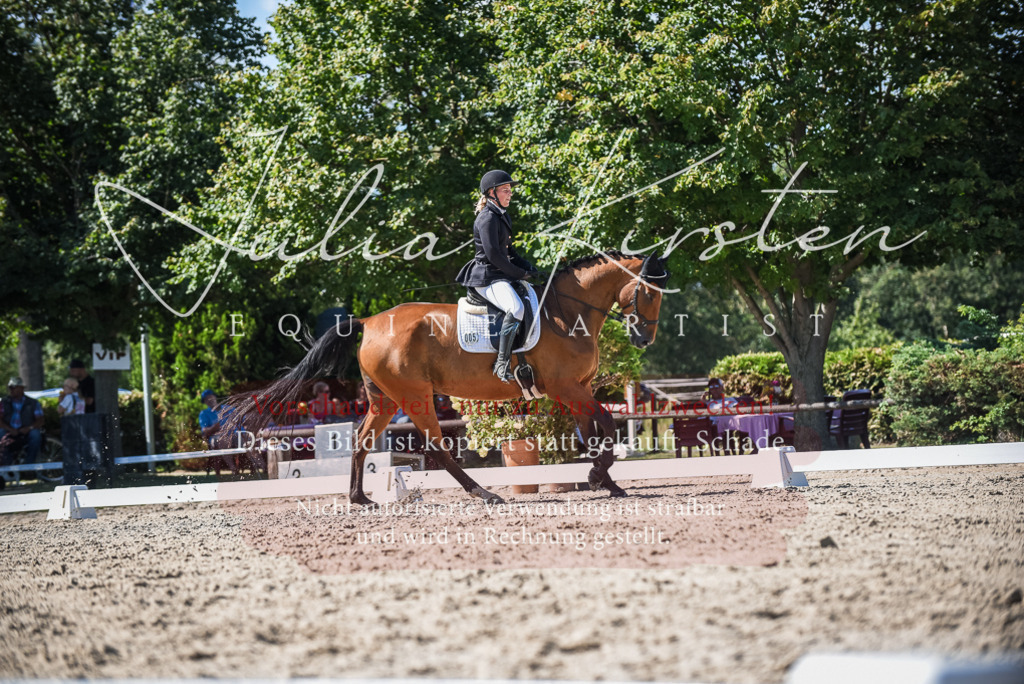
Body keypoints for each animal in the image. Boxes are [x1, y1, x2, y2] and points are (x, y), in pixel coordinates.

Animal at [221, 250, 669, 505]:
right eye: (649, 292)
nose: (644, 339)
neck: (568, 312)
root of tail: (368, 322)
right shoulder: (567, 388)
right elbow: (606, 425)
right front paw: (598, 477)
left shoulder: (578, 390)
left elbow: (593, 433)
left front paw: (604, 482)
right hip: (415, 395)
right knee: (437, 445)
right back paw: (483, 493)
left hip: (386, 399)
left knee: (363, 441)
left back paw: (360, 498)